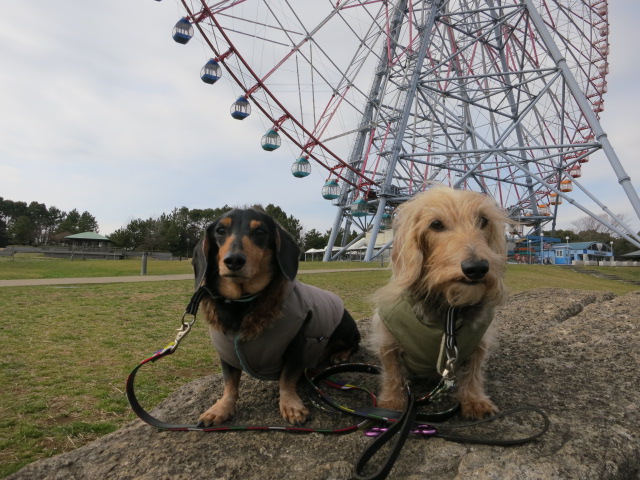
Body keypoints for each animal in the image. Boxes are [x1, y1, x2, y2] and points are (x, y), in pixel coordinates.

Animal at [368, 188, 508, 420]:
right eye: (435, 224)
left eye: (483, 220)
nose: (477, 268)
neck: (448, 307)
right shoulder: (388, 339)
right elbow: (392, 373)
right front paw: (392, 402)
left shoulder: (479, 342)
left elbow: (473, 372)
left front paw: (474, 400)